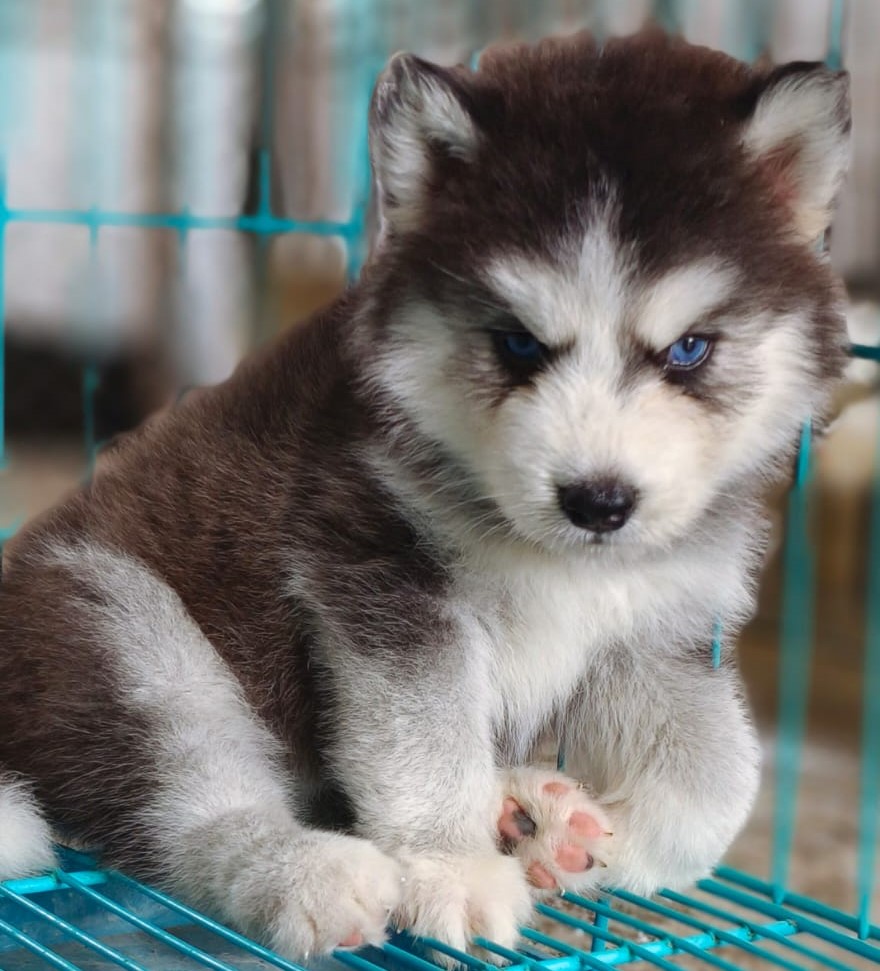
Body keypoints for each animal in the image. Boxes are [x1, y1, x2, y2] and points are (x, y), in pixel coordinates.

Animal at [0, 30, 848, 964]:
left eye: (690, 349)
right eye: (517, 343)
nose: (597, 502)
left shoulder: (658, 621)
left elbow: (717, 778)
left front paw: (621, 842)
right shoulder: (383, 583)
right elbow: (423, 746)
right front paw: (452, 866)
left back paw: (531, 813)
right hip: (118, 627)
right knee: (190, 803)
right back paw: (307, 874)